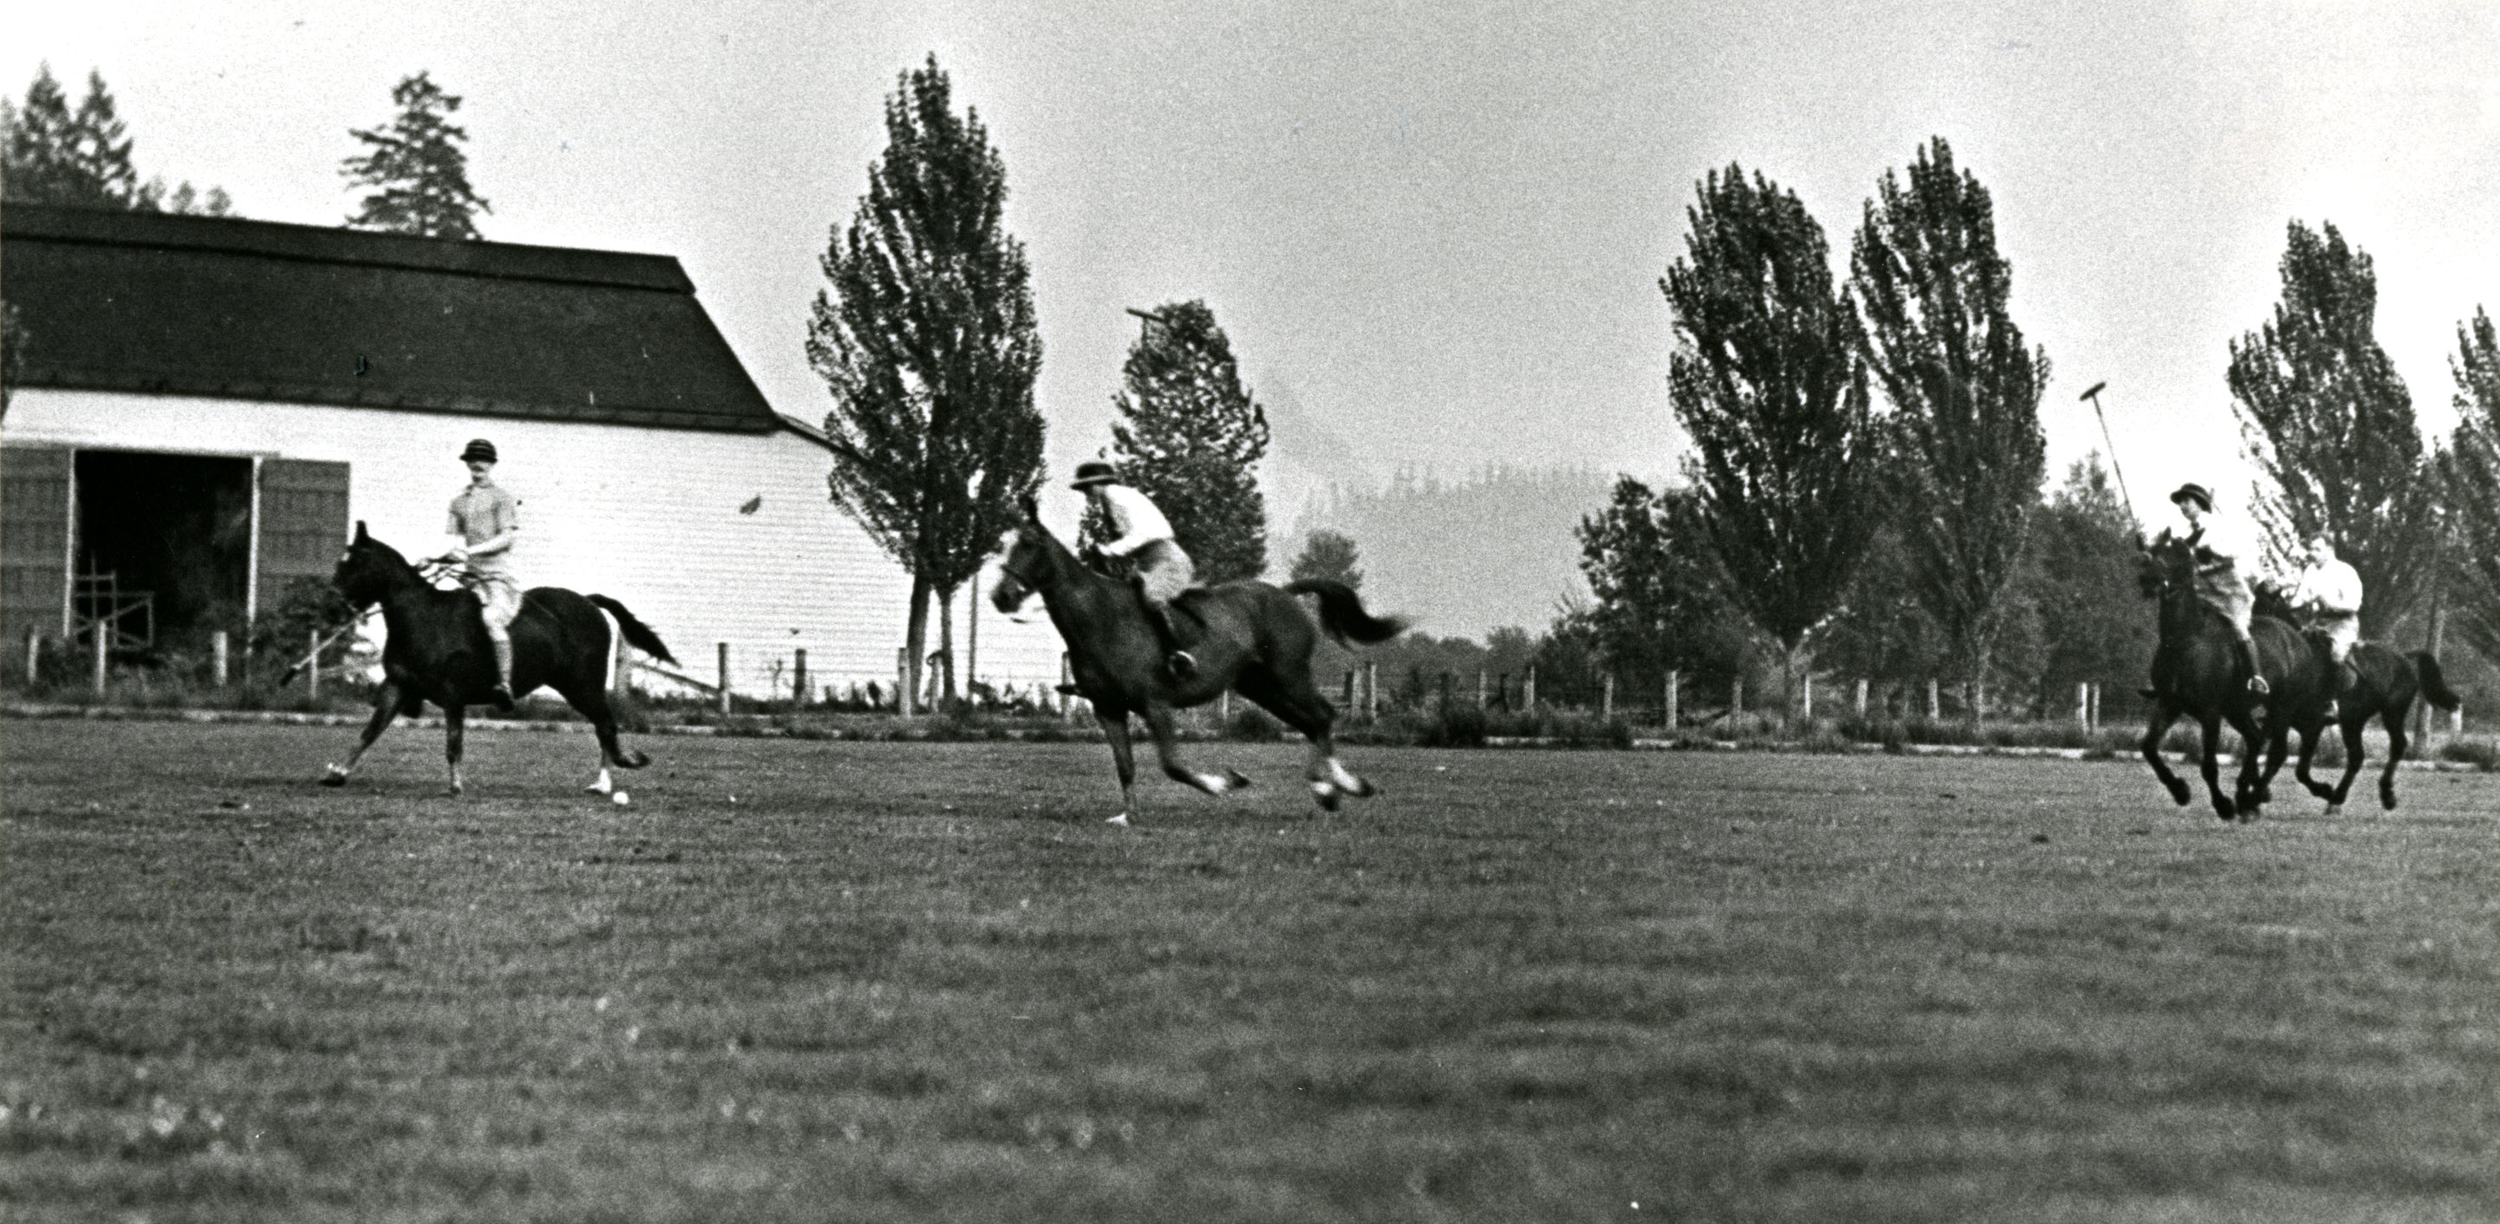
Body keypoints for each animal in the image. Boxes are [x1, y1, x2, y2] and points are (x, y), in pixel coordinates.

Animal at [320, 522, 676, 796]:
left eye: (352, 565)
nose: (330, 609)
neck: (422, 619)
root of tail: (588, 602)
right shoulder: (397, 686)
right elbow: (370, 731)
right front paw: (337, 773)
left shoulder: (453, 696)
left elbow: (453, 743)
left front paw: (456, 786)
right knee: (603, 726)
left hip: (582, 686)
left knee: (605, 725)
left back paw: (607, 781)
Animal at [990, 499, 1407, 826]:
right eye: (1002, 545)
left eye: (1028, 543)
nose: (1001, 596)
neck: (1099, 618)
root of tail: (1287, 594)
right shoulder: (1108, 709)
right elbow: (1126, 765)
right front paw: (1128, 816)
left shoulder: (1155, 705)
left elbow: (1172, 764)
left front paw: (1226, 782)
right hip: (1260, 688)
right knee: (1311, 722)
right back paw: (1339, 788)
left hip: (1288, 677)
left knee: (1322, 716)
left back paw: (1330, 787)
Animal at [2135, 533, 2332, 823]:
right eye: (2154, 551)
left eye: (2182, 556)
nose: (2149, 579)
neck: (2183, 641)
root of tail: (2299, 638)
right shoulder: (2170, 703)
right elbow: (2148, 747)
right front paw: (2180, 790)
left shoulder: (2210, 712)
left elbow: (2208, 765)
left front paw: (2222, 804)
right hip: (2238, 709)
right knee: (2256, 738)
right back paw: (2247, 795)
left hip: (2282, 706)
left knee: (2276, 751)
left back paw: (2251, 798)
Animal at [2243, 587, 2463, 813]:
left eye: (2262, 607)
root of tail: (2402, 656)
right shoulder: (2278, 720)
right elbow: (2262, 749)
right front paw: (2258, 791)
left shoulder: (2313, 726)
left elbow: (2299, 769)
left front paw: (2321, 790)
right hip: (2353, 721)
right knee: (2357, 756)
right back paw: (2338, 798)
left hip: (2392, 713)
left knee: (2397, 744)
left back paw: (2385, 794)